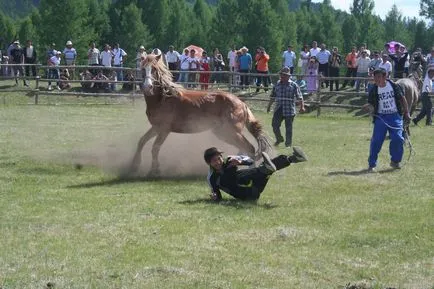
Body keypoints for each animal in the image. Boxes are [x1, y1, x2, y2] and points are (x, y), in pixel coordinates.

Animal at [131, 53, 270, 176]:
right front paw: (134, 166)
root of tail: (241, 103)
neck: (163, 98)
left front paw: (154, 170)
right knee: (244, 148)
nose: (148, 87)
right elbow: (141, 141)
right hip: (224, 133)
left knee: (250, 148)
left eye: (154, 69)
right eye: (143, 68)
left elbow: (155, 148)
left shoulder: (164, 130)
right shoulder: (156, 127)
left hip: (231, 132)